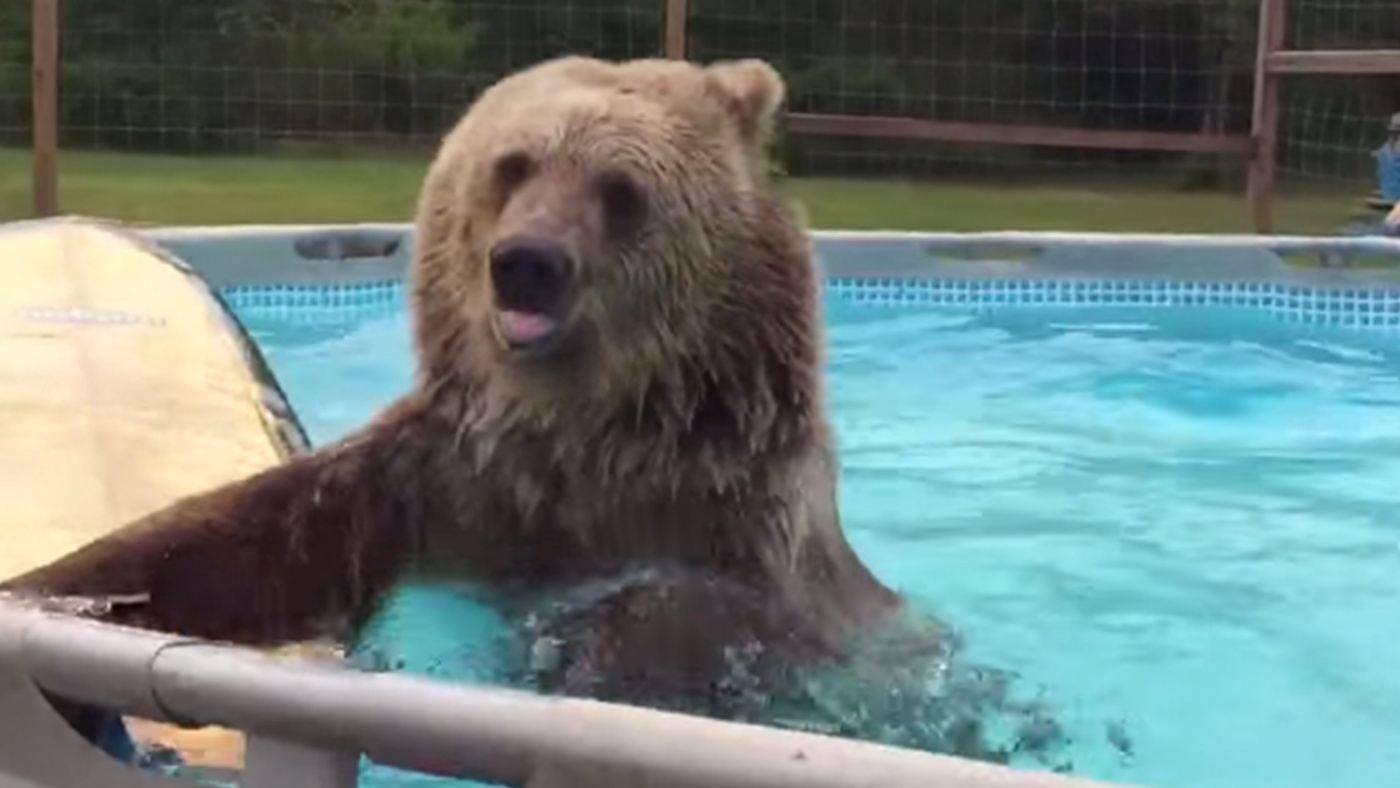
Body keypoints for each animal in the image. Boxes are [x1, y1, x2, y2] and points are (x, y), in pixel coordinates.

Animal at [8, 53, 918, 716]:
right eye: (513, 165)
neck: (581, 433)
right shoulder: (435, 489)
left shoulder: (720, 517)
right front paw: (49, 591)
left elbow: (678, 627)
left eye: (620, 189)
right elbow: (207, 554)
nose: (527, 263)